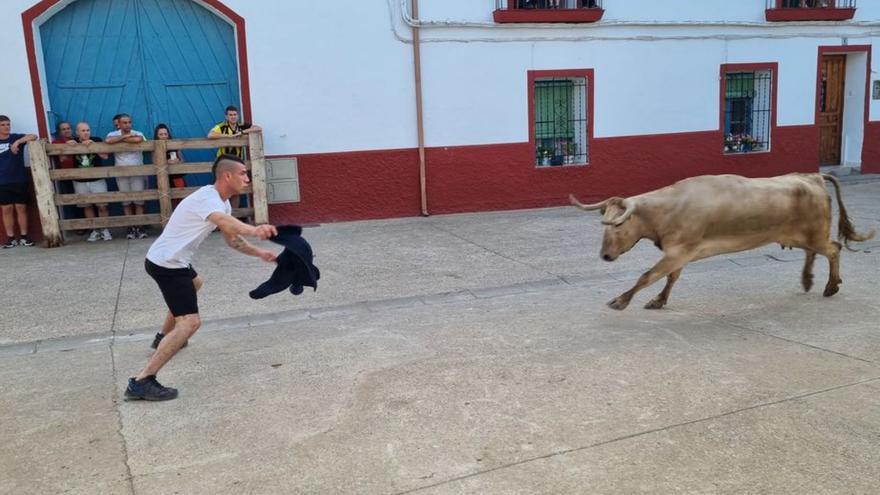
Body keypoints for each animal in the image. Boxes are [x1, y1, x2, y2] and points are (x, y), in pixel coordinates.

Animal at [572, 174, 872, 312]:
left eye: (619, 224)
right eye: (604, 220)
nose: (605, 256)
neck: (667, 209)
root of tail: (813, 176)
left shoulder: (678, 252)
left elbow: (648, 275)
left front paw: (621, 300)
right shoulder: (679, 253)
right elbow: (670, 277)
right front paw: (659, 300)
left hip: (815, 234)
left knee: (833, 249)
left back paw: (830, 286)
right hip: (796, 236)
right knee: (815, 252)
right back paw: (808, 280)